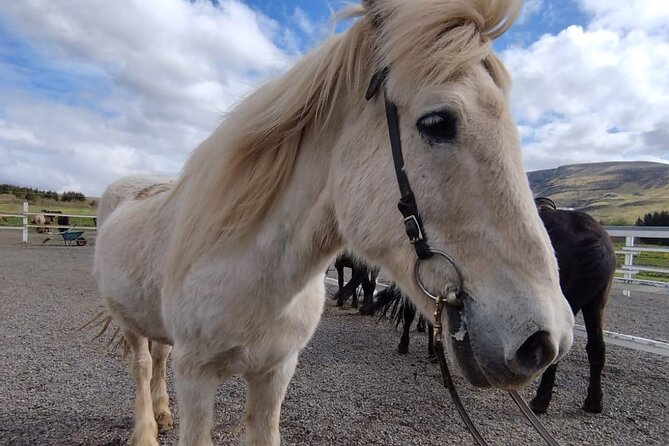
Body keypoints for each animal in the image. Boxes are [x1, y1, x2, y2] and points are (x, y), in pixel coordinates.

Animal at [93, 1, 574, 445]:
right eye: (437, 122)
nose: (546, 340)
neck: (253, 275)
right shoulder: (195, 375)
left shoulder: (275, 373)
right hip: (129, 323)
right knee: (143, 365)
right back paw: (146, 429)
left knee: (157, 356)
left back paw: (161, 413)